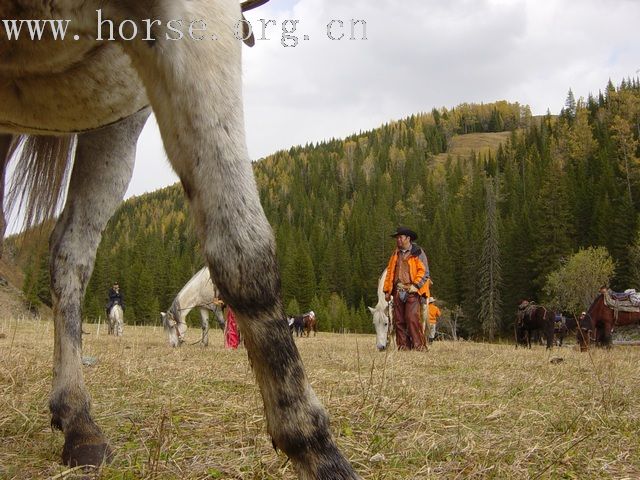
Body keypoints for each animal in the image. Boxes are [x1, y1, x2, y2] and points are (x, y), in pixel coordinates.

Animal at [0, 1, 358, 478]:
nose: (174, 344)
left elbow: (244, 254)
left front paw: (317, 453)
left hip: (116, 122)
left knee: (71, 251)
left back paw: (79, 422)